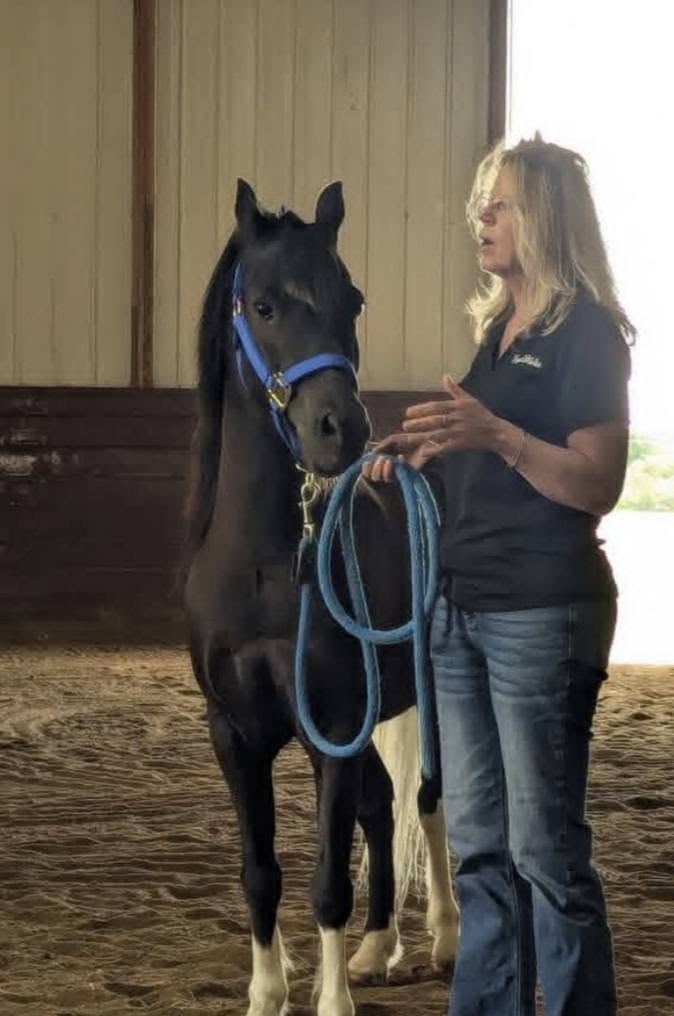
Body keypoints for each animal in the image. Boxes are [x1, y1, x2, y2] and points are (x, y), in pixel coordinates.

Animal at [184, 178, 459, 1016]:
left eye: (354, 300)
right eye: (264, 304)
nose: (341, 428)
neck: (265, 567)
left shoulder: (331, 726)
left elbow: (328, 879)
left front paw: (330, 999)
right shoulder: (235, 735)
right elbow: (261, 873)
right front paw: (266, 992)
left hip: (433, 693)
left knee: (428, 799)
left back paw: (443, 938)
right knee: (385, 804)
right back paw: (378, 947)